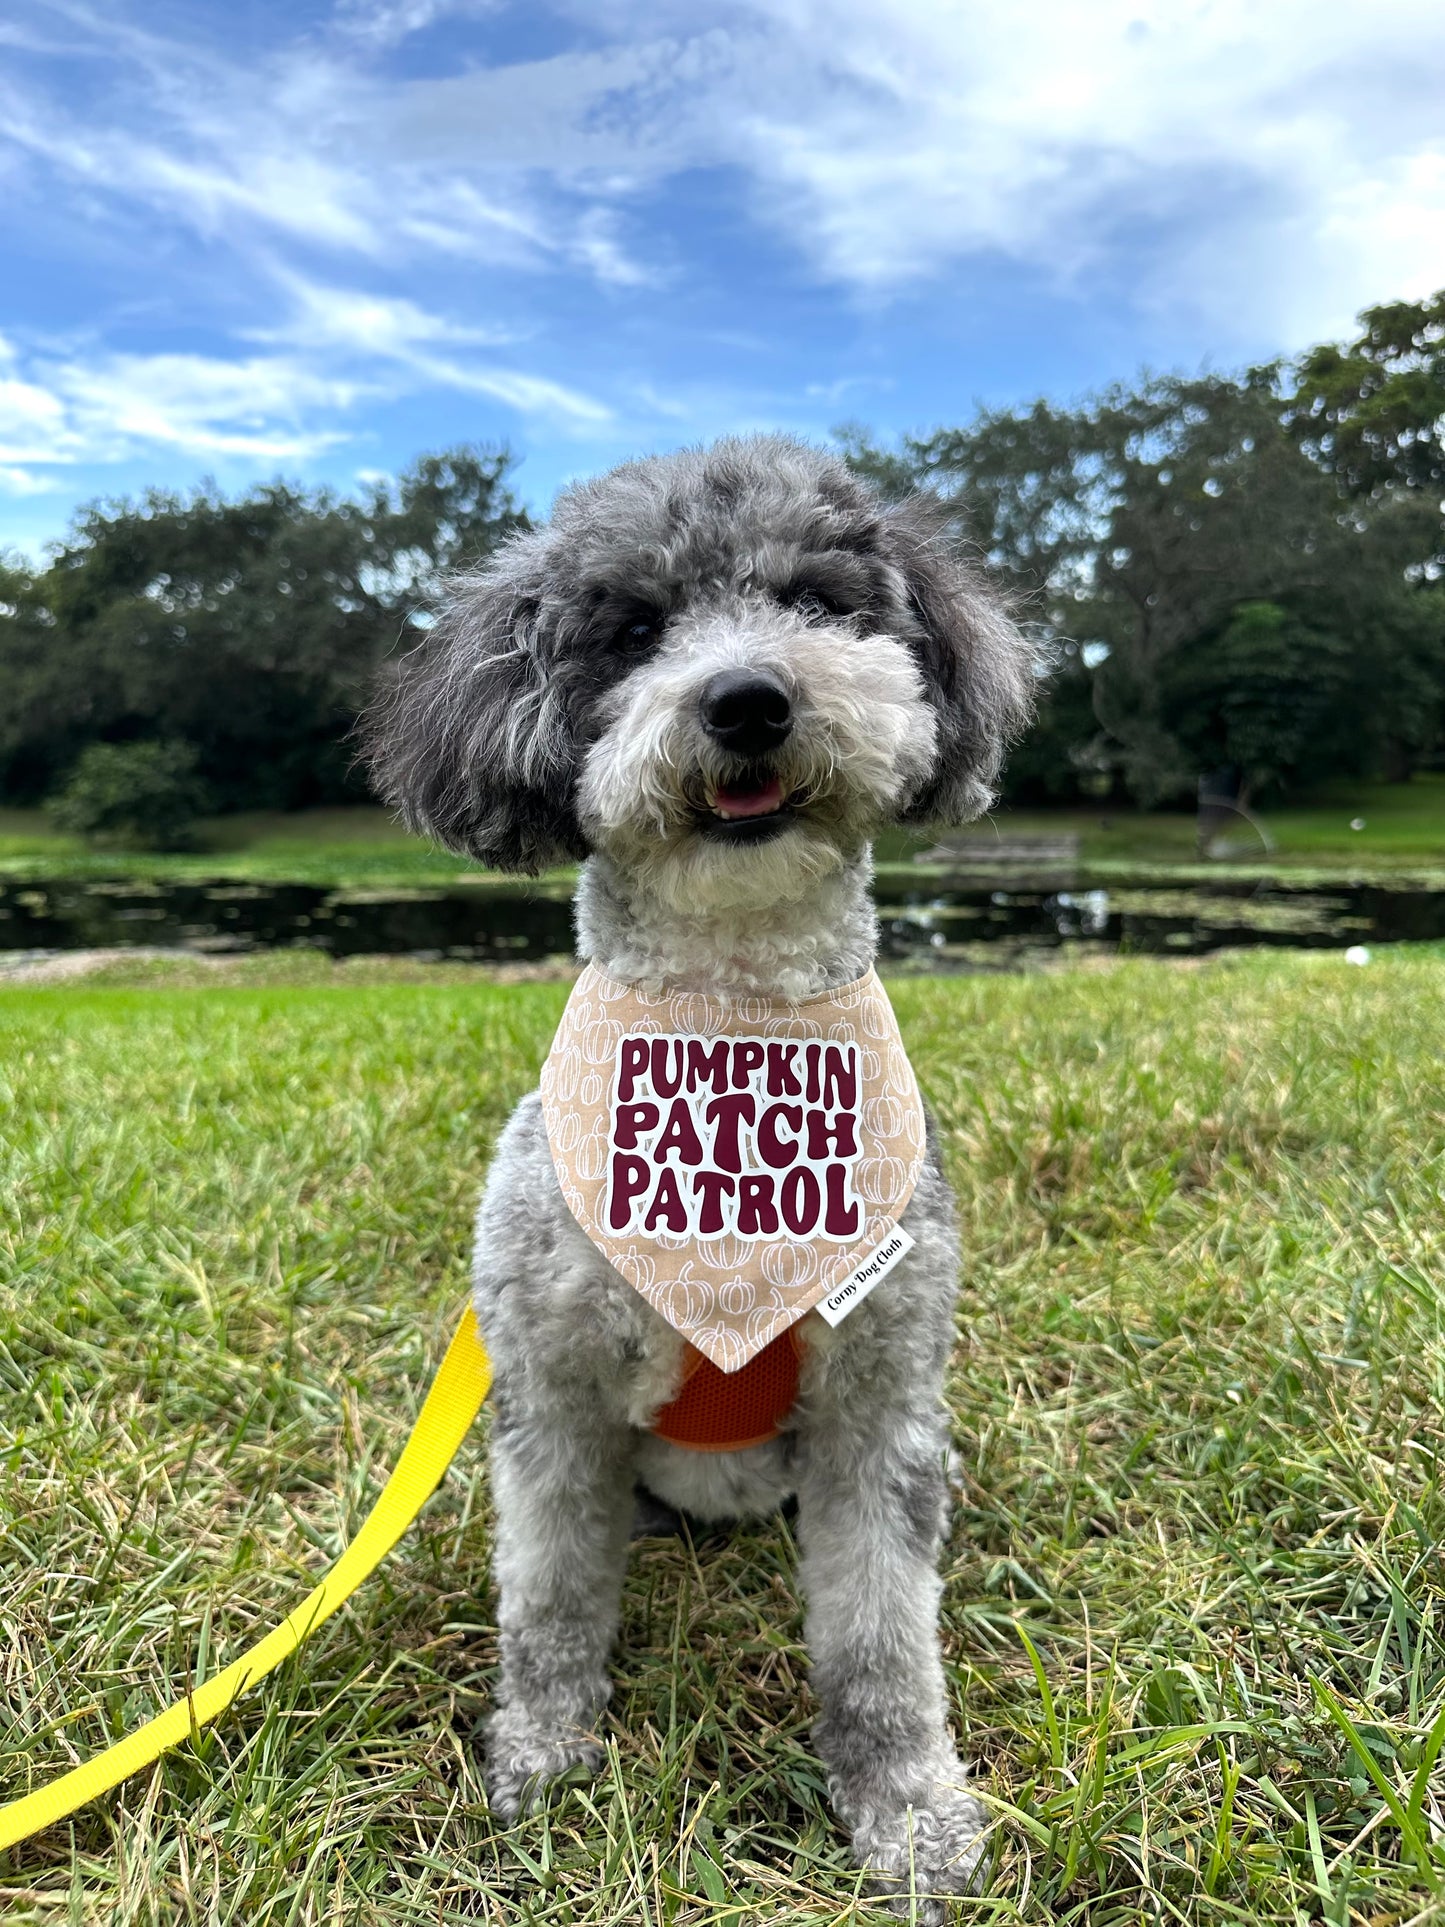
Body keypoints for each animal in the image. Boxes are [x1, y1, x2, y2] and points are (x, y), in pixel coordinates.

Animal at [367, 429, 1032, 1919]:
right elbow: (551, 1599)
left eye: (817, 602)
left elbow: (882, 1640)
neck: (731, 1041)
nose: (746, 698)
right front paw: (541, 1755)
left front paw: (907, 1812)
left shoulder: (877, 1399)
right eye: (632, 630)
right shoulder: (551, 1397)